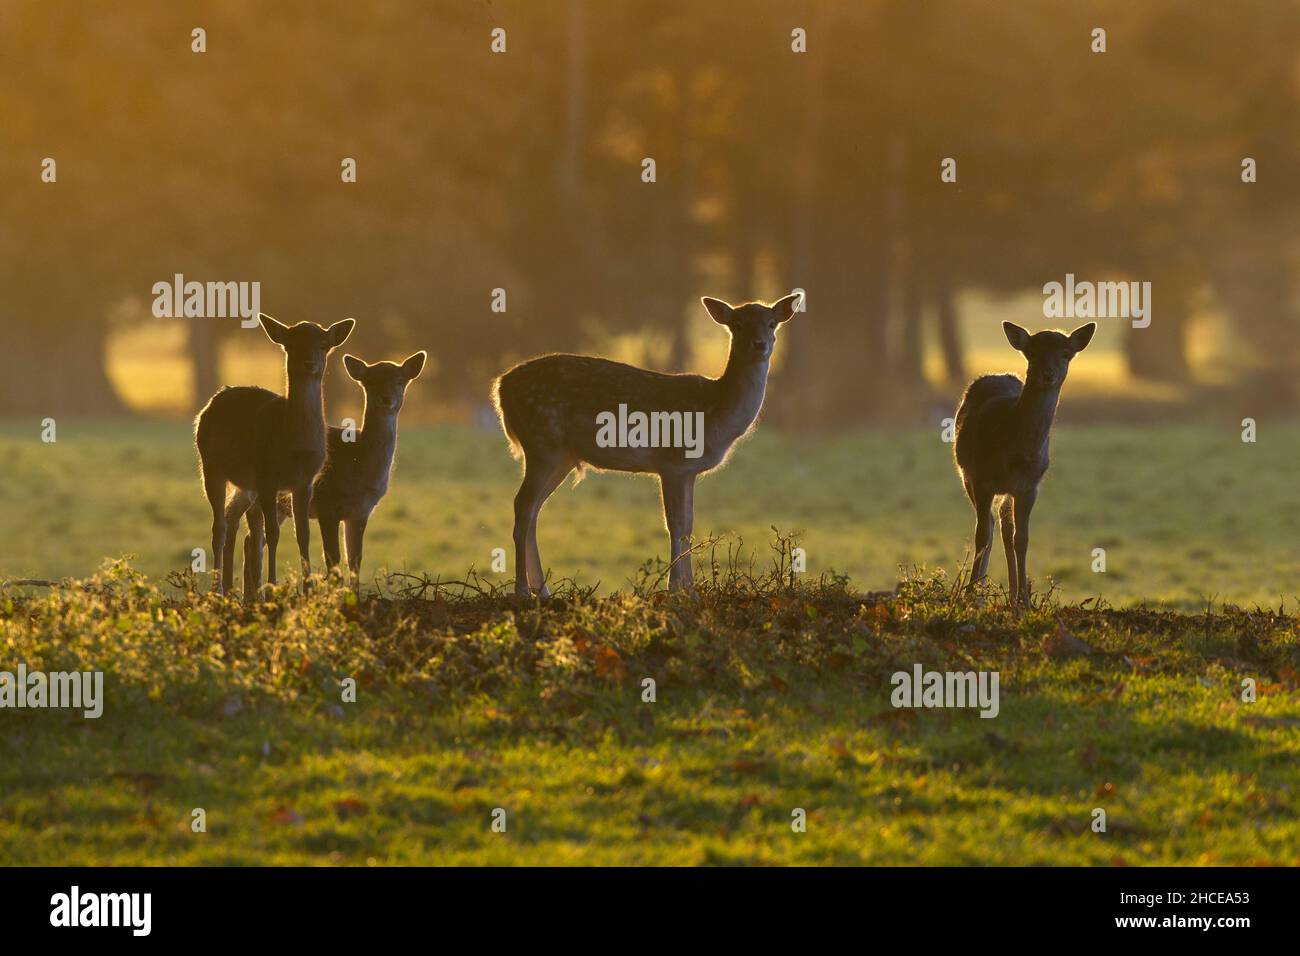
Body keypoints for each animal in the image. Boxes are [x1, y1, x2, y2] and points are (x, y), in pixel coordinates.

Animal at [192, 314, 356, 595]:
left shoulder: (305, 482)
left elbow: (303, 534)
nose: (309, 363)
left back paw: (232, 589)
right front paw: (271, 587)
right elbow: (272, 533)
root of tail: (213, 401)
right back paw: (218, 591)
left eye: (324, 344)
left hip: (246, 484)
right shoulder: (267, 477)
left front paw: (308, 589)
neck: (293, 446)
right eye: (291, 344)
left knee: (232, 519)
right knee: (219, 527)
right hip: (211, 466)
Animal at [223, 348, 426, 598]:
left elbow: (355, 559)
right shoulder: (327, 505)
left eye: (400, 380)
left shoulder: (361, 512)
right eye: (370, 381)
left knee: (250, 539)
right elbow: (334, 559)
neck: (359, 465)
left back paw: (250, 597)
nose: (386, 399)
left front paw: (353, 597)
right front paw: (334, 597)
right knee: (236, 524)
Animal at [491, 293, 795, 598]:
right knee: (523, 506)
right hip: (542, 443)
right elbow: (676, 524)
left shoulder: (688, 471)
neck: (715, 411)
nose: (760, 344)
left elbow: (689, 523)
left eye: (771, 323)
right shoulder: (672, 462)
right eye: (738, 325)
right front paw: (676, 589)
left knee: (533, 511)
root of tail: (500, 387)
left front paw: (690, 590)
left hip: (560, 457)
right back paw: (522, 591)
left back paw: (542, 591)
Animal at [951, 321, 1092, 606]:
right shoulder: (980, 479)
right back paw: (979, 592)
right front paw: (971, 597)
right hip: (967, 476)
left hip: (1008, 491)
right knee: (989, 526)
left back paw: (1013, 595)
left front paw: (1025, 602)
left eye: (1065, 353)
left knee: (1005, 528)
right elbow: (981, 536)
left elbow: (1022, 539)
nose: (1048, 373)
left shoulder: (1029, 486)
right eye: (1032, 352)